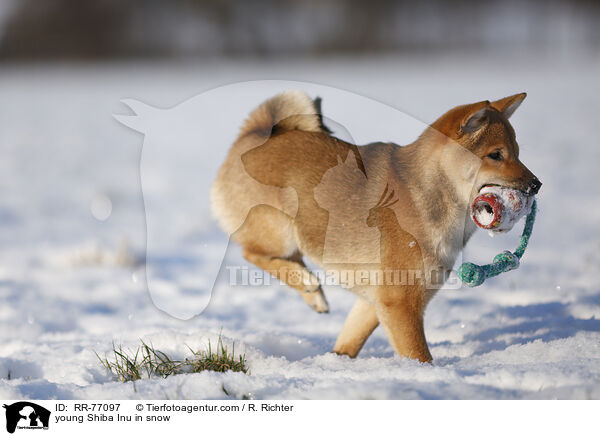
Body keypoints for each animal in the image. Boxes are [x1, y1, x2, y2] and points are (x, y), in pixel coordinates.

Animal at [211, 91, 540, 362]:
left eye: (517, 152)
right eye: (495, 155)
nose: (536, 184)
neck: (429, 192)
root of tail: (254, 136)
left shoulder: (378, 301)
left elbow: (349, 341)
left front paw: (336, 363)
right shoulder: (401, 302)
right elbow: (419, 355)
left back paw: (313, 295)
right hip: (278, 229)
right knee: (253, 254)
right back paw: (308, 284)